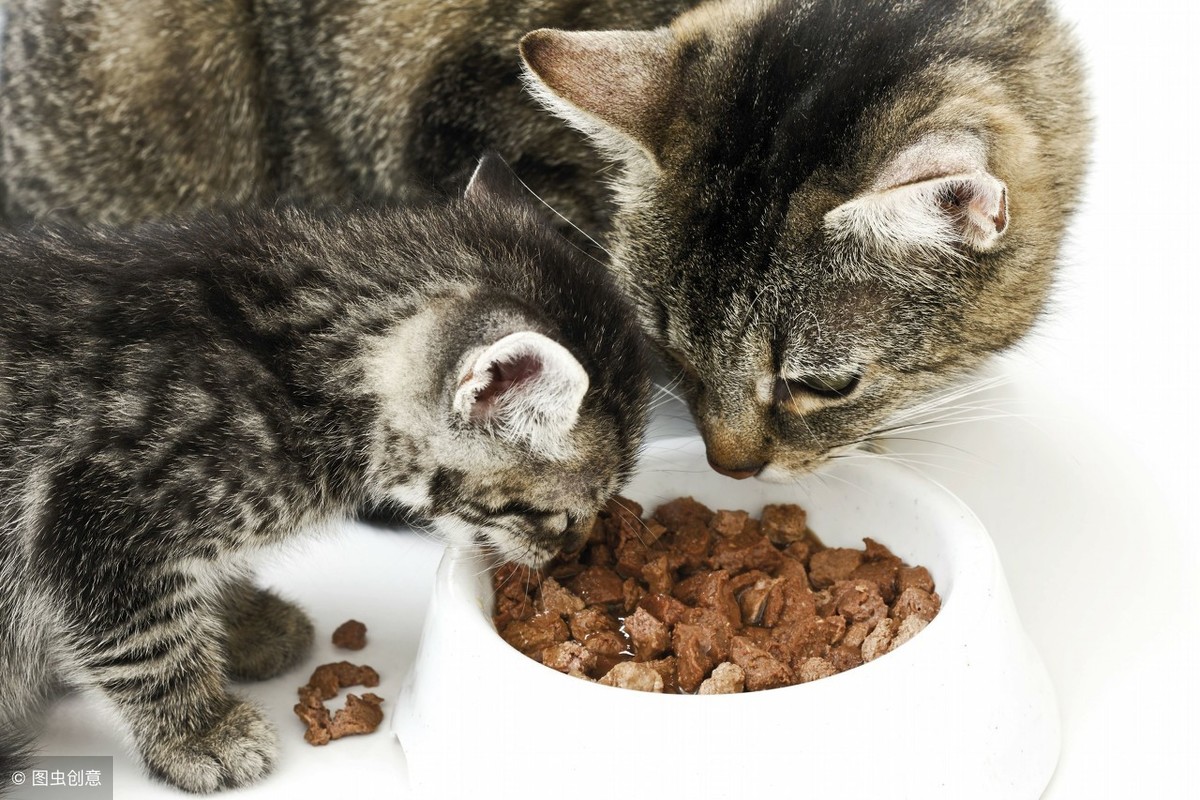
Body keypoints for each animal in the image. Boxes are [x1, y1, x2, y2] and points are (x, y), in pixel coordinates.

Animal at [0, 158, 648, 796]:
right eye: (564, 516)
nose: (569, 558)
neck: (300, 372)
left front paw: (241, 621)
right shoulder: (98, 515)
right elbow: (143, 639)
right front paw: (201, 731)